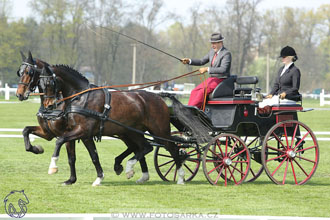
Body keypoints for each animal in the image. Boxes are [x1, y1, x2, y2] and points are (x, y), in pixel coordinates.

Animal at [15, 51, 151, 184]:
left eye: (29, 72)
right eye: (20, 72)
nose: (19, 94)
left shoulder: (68, 133)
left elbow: (72, 155)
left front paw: (58, 169)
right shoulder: (48, 133)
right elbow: (26, 131)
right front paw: (37, 149)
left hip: (128, 132)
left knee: (139, 147)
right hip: (124, 132)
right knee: (137, 147)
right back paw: (133, 171)